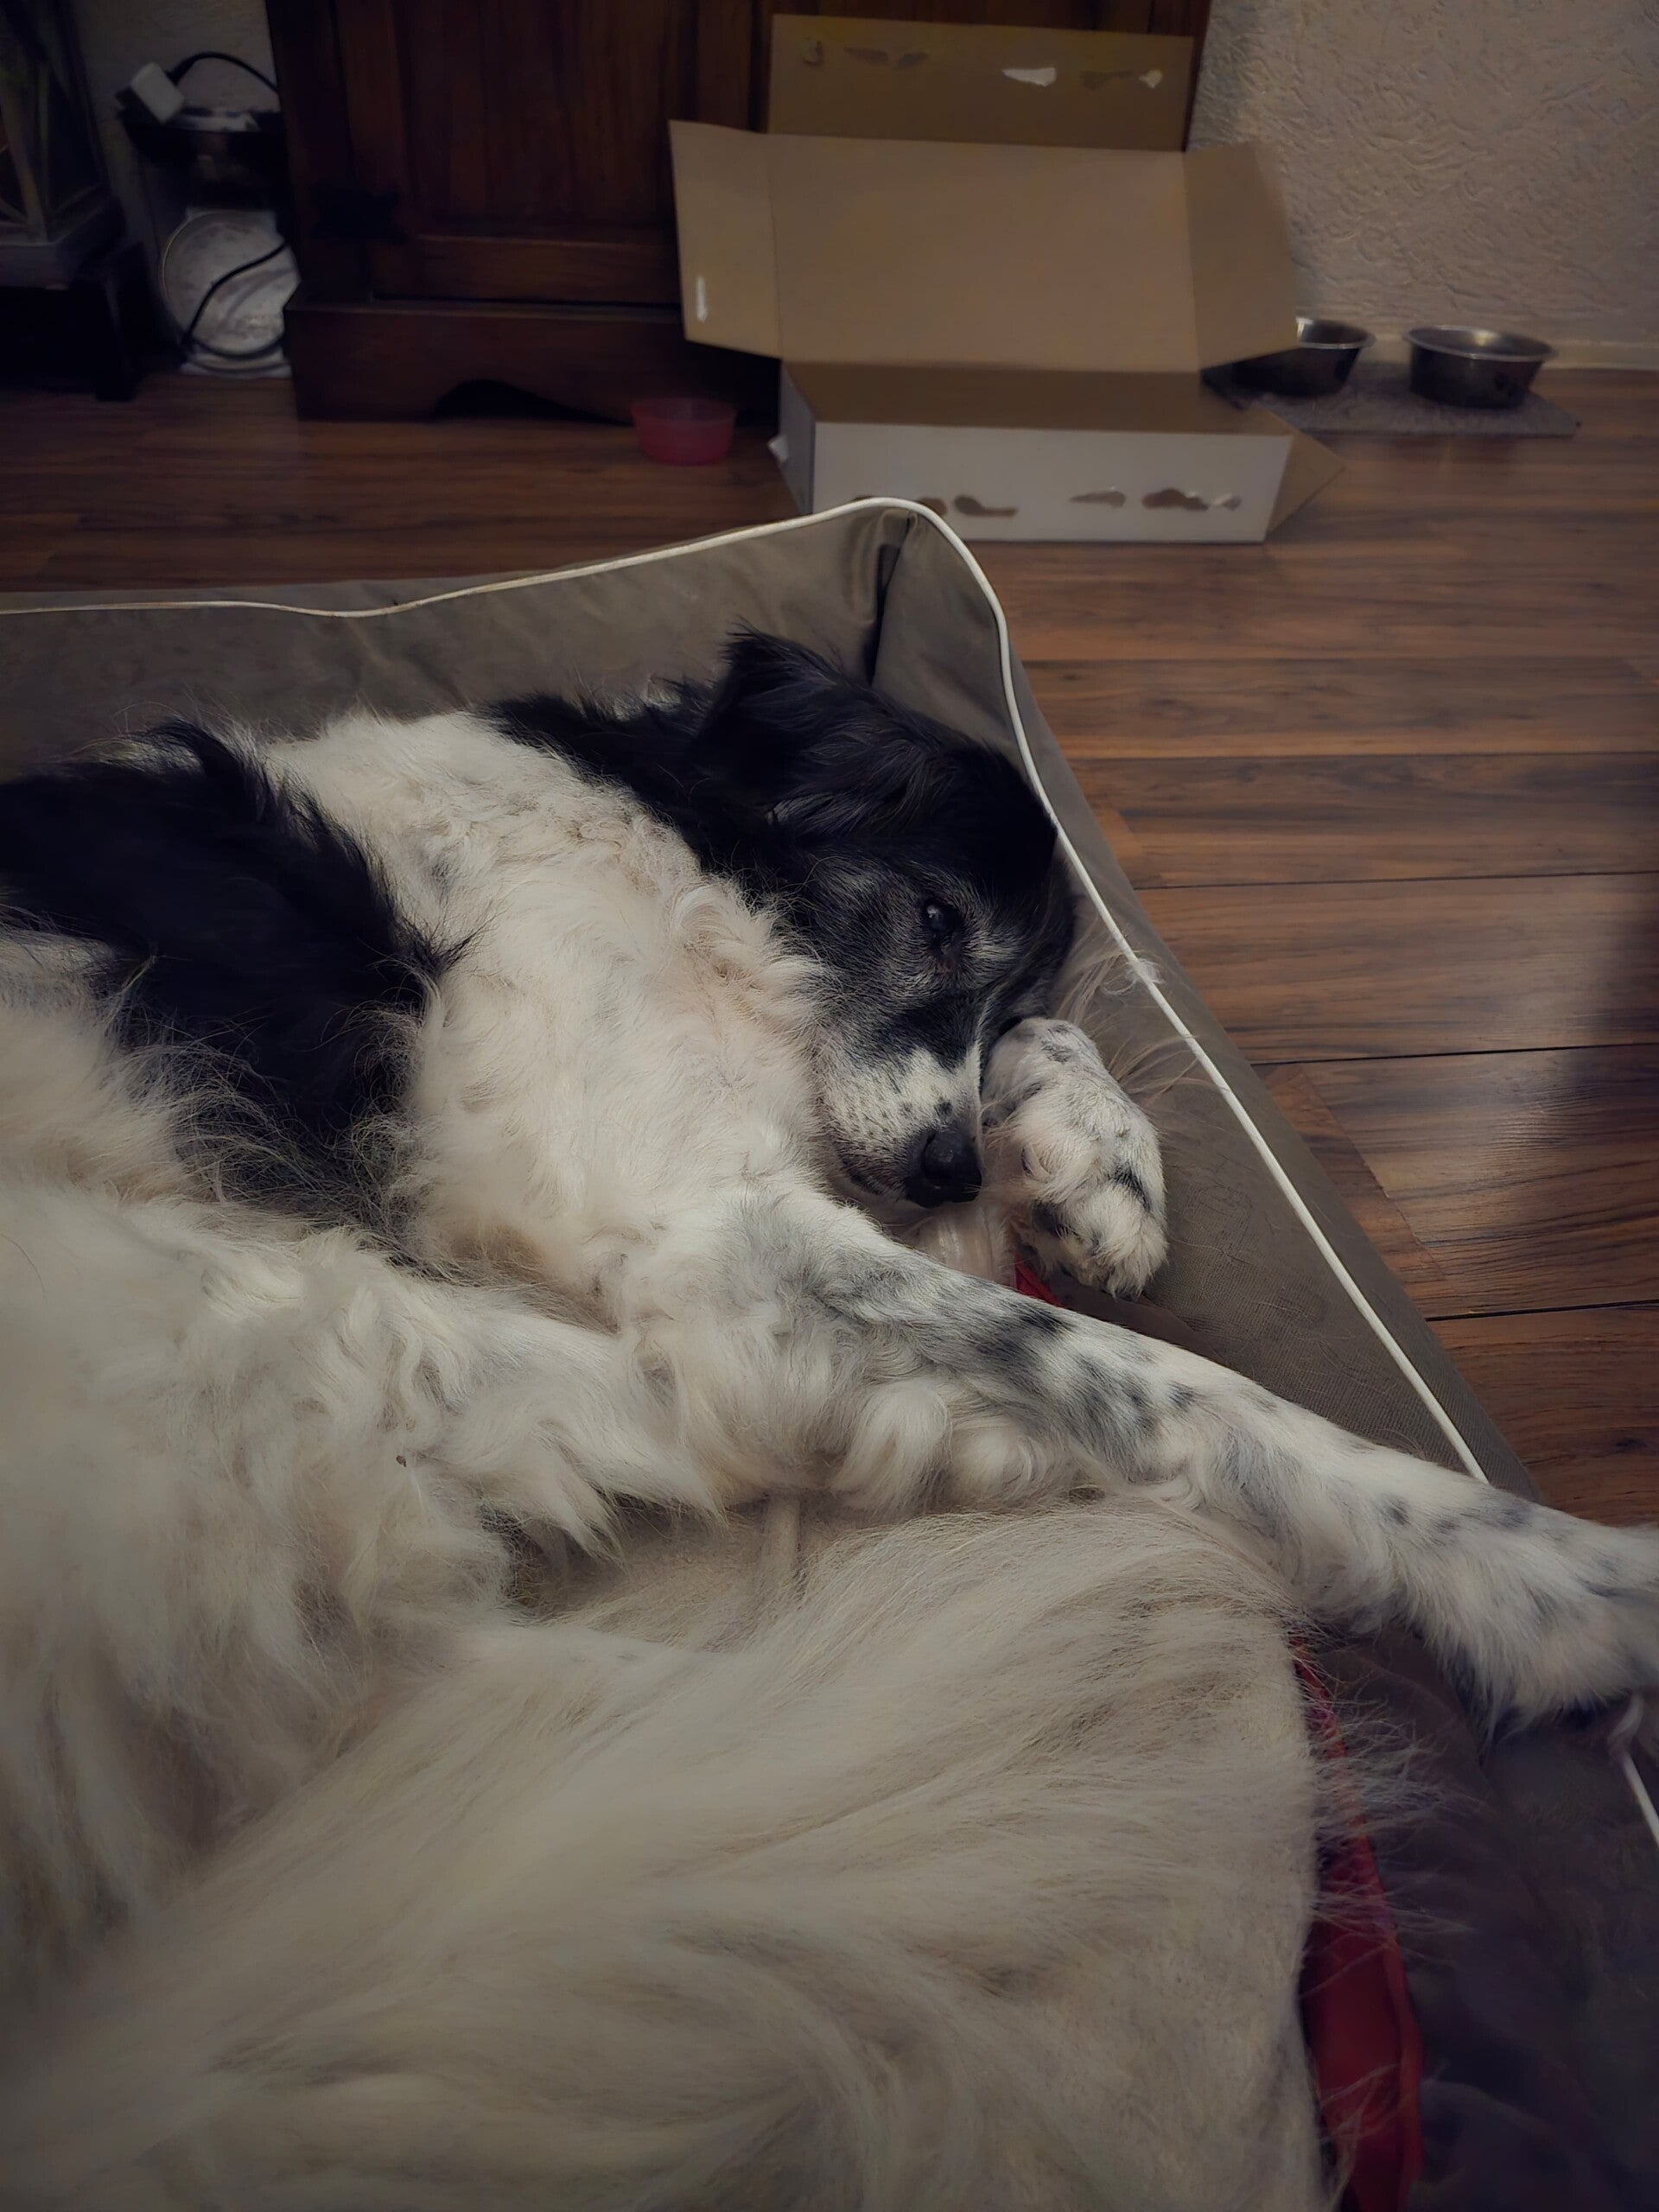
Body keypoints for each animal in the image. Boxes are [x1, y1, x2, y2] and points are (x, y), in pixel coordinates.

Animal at [0, 633, 1655, 2206]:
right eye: (931, 920)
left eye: (1009, 978)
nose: (943, 1165)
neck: (685, 866)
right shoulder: (718, 1233)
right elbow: (1153, 1377)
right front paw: (1550, 1576)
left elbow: (1042, 1207)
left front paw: (1095, 1164)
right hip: (253, 1311)